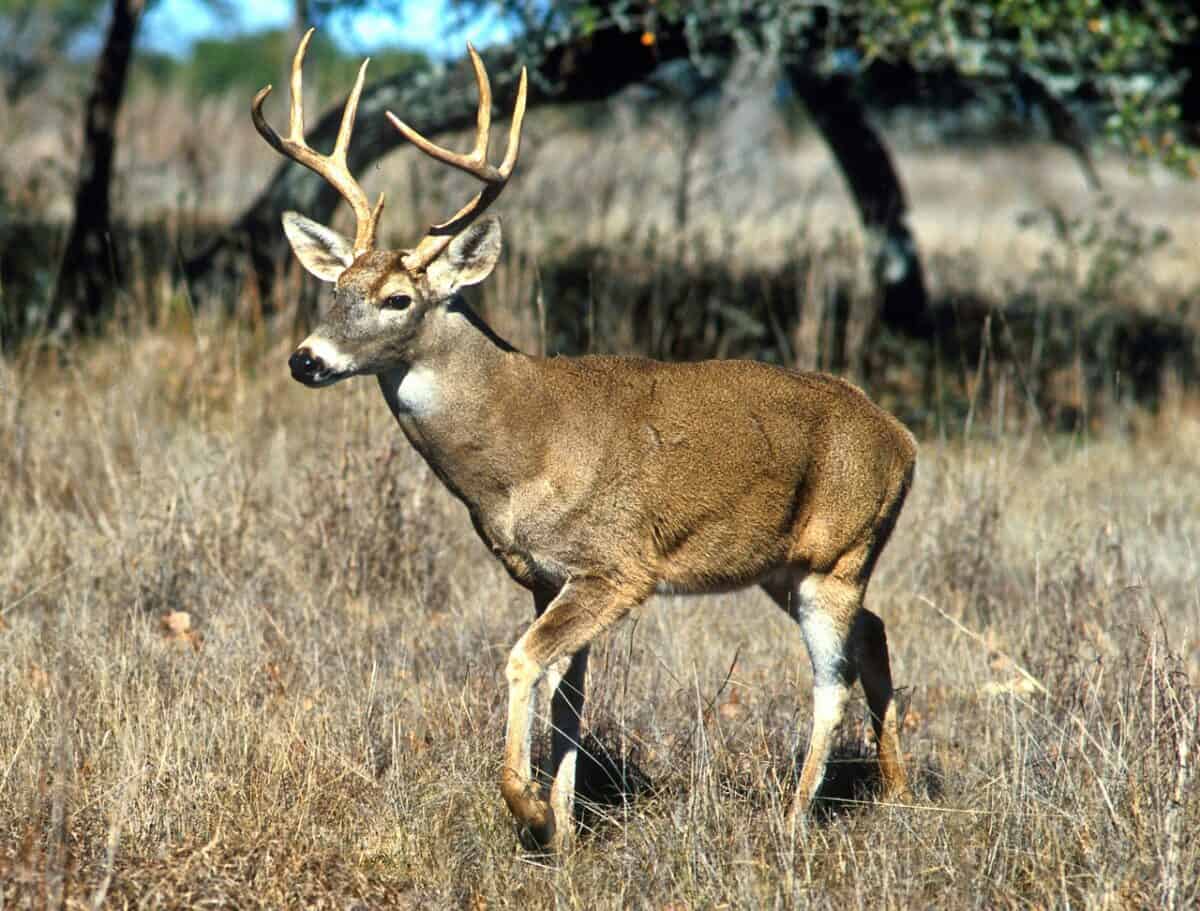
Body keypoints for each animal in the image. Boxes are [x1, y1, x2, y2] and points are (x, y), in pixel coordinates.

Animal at [252, 30, 917, 853]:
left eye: (398, 298)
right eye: (335, 289)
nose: (305, 359)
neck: (521, 449)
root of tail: (903, 439)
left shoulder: (617, 565)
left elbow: (522, 662)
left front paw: (529, 808)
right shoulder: (547, 574)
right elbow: (568, 694)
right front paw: (566, 829)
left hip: (838, 553)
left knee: (833, 678)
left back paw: (793, 819)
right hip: (788, 565)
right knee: (875, 634)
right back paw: (897, 793)